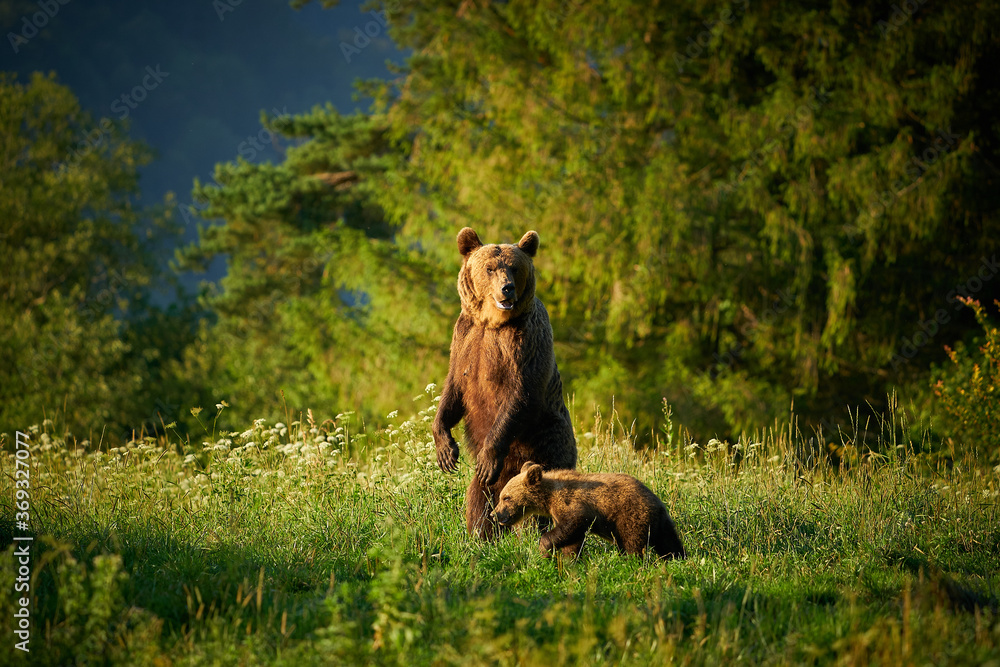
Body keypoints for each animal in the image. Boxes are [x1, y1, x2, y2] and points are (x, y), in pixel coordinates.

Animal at [432, 227, 580, 540]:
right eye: (489, 268)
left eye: (514, 267)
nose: (507, 288)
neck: (493, 322)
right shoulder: (464, 338)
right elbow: (453, 389)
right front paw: (446, 451)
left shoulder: (525, 341)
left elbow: (520, 394)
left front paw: (488, 455)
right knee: (479, 497)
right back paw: (480, 535)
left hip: (545, 443)